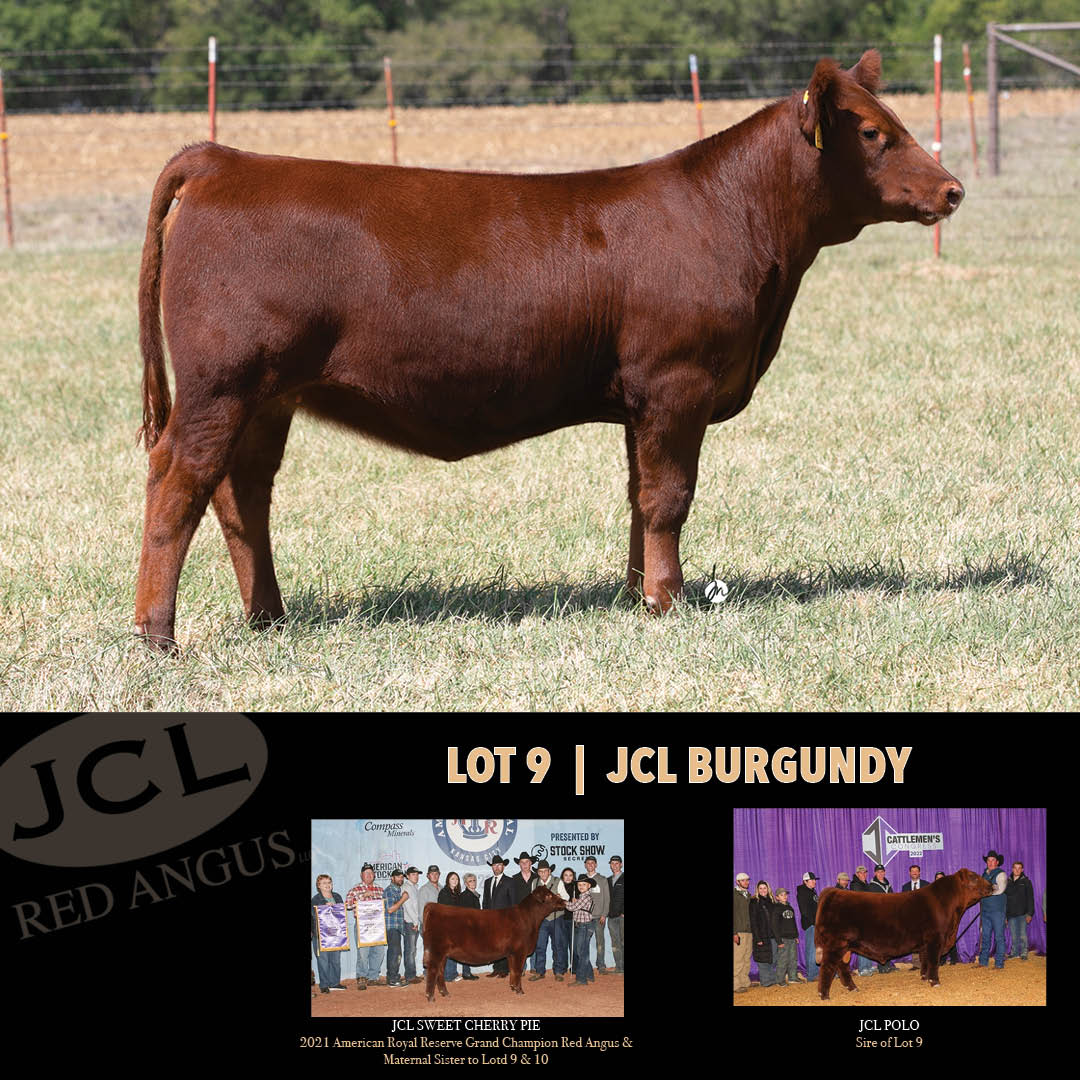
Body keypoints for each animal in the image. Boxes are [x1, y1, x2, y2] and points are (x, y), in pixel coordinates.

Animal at [134, 49, 964, 650]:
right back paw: (156, 634)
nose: (953, 189)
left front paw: (634, 593)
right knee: (179, 482)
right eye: (873, 133)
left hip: (268, 397)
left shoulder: (641, 399)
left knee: (242, 495)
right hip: (222, 384)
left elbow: (638, 494)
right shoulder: (677, 383)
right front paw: (668, 601)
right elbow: (670, 496)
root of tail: (227, 158)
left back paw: (268, 617)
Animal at [421, 886, 565, 1000]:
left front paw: (513, 987)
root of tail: (434, 906)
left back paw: (445, 993)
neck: (528, 920)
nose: (563, 901)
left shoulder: (511, 953)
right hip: (436, 951)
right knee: (433, 971)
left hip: (443, 954)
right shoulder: (520, 951)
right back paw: (430, 997)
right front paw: (520, 991)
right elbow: (518, 970)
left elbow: (512, 970)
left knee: (440, 971)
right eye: (548, 895)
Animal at [813, 868, 992, 1000]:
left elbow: (924, 960)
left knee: (842, 966)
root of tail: (833, 892)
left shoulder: (925, 943)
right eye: (974, 878)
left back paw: (852, 988)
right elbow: (933, 961)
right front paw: (934, 981)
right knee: (827, 967)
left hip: (845, 947)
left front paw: (924, 977)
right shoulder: (935, 939)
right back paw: (824, 995)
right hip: (835, 944)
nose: (991, 886)